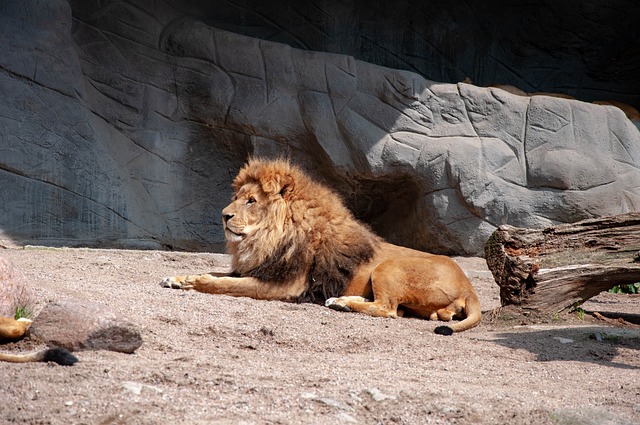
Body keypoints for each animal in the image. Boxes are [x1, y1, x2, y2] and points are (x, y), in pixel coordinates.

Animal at [160, 157, 480, 332]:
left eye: (251, 201)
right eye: (237, 197)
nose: (224, 215)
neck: (265, 239)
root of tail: (469, 286)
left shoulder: (285, 285)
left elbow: (223, 284)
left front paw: (192, 282)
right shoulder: (260, 269)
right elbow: (218, 274)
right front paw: (177, 277)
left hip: (389, 266)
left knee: (388, 309)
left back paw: (341, 304)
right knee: (396, 309)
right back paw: (343, 300)